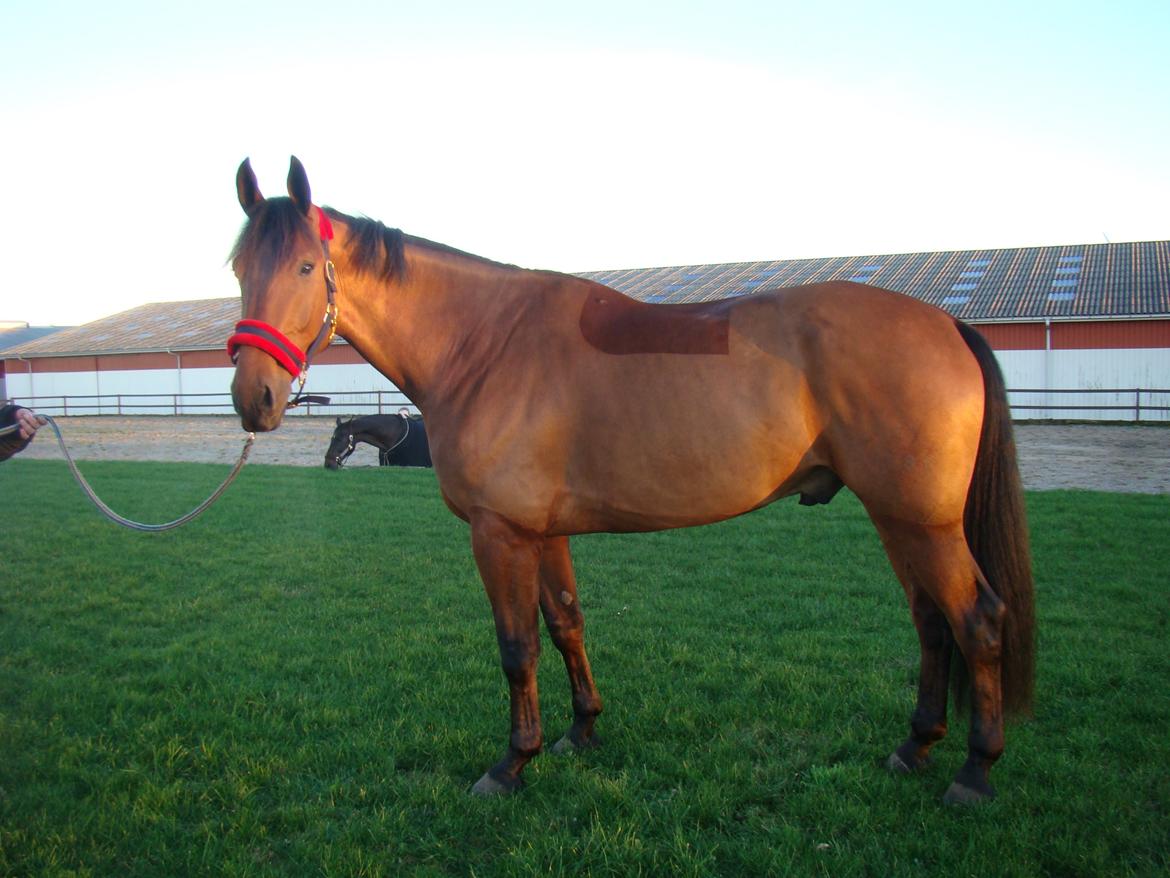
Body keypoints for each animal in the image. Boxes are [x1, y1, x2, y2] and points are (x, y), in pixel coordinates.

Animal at [225, 156, 1034, 805]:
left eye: (305, 268)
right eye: (238, 268)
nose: (254, 398)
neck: (485, 344)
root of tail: (944, 322)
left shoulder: (500, 534)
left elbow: (516, 646)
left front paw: (510, 765)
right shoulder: (543, 532)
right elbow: (566, 623)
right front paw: (580, 732)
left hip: (923, 522)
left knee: (977, 621)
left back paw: (975, 772)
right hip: (899, 519)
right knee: (932, 622)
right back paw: (914, 747)